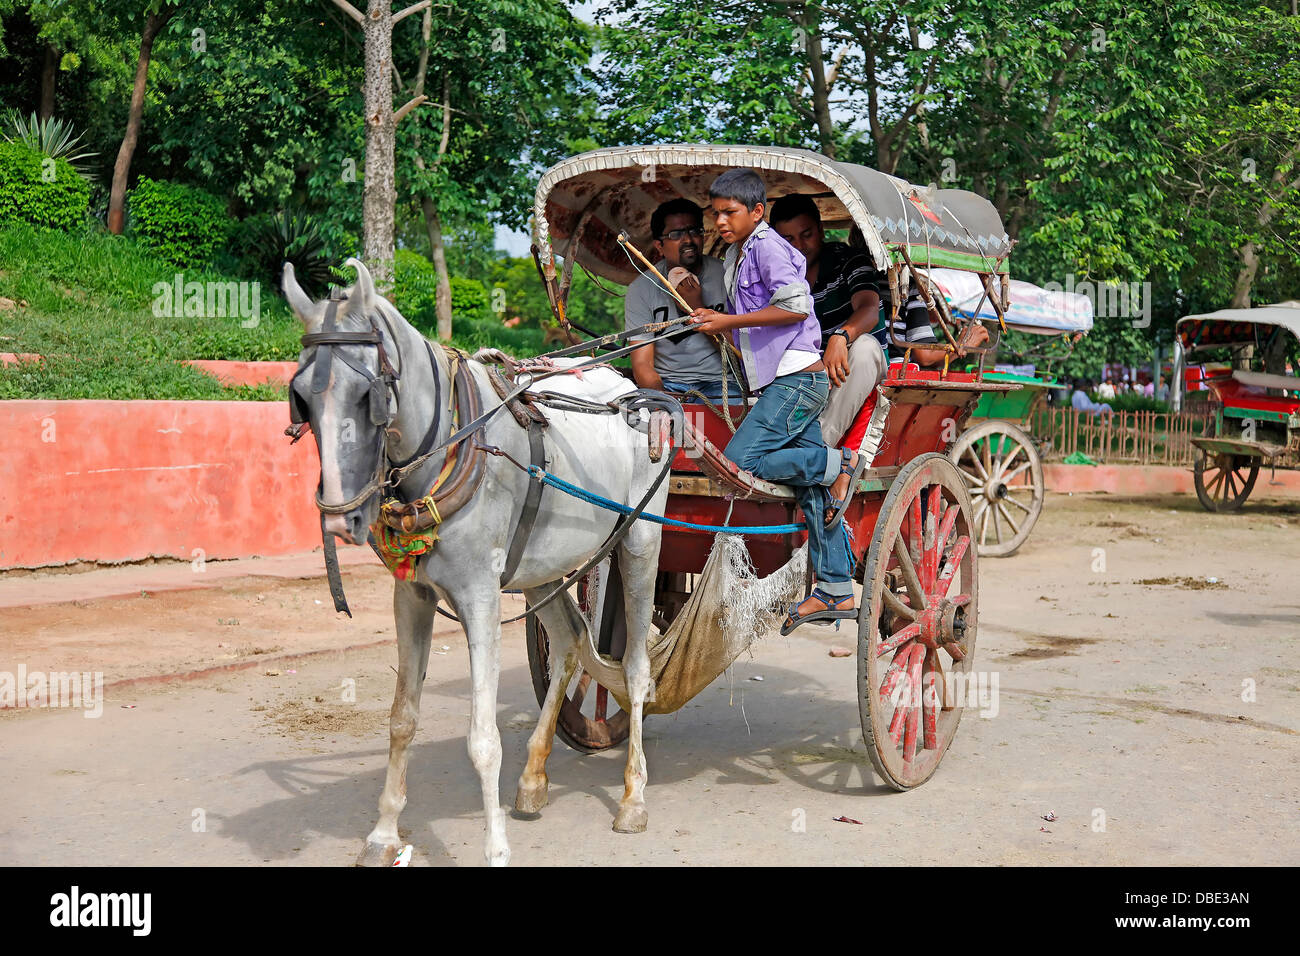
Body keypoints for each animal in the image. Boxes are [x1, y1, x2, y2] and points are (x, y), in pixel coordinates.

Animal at [286, 260, 670, 868]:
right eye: (300, 395)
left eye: (368, 395)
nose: (340, 519)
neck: (451, 443)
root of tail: (631, 390)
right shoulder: (412, 596)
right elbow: (402, 718)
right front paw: (384, 833)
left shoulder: (481, 599)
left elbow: (483, 738)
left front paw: (495, 849)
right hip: (544, 567)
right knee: (569, 640)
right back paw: (534, 778)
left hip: (638, 540)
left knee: (633, 668)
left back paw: (633, 797)